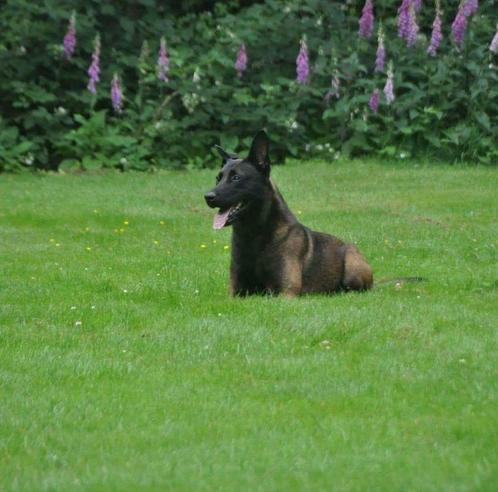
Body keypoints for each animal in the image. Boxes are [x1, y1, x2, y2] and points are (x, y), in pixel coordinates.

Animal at [203, 131, 374, 298]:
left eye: (236, 177)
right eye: (218, 179)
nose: (207, 197)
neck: (254, 234)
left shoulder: (286, 293)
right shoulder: (235, 292)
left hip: (352, 268)